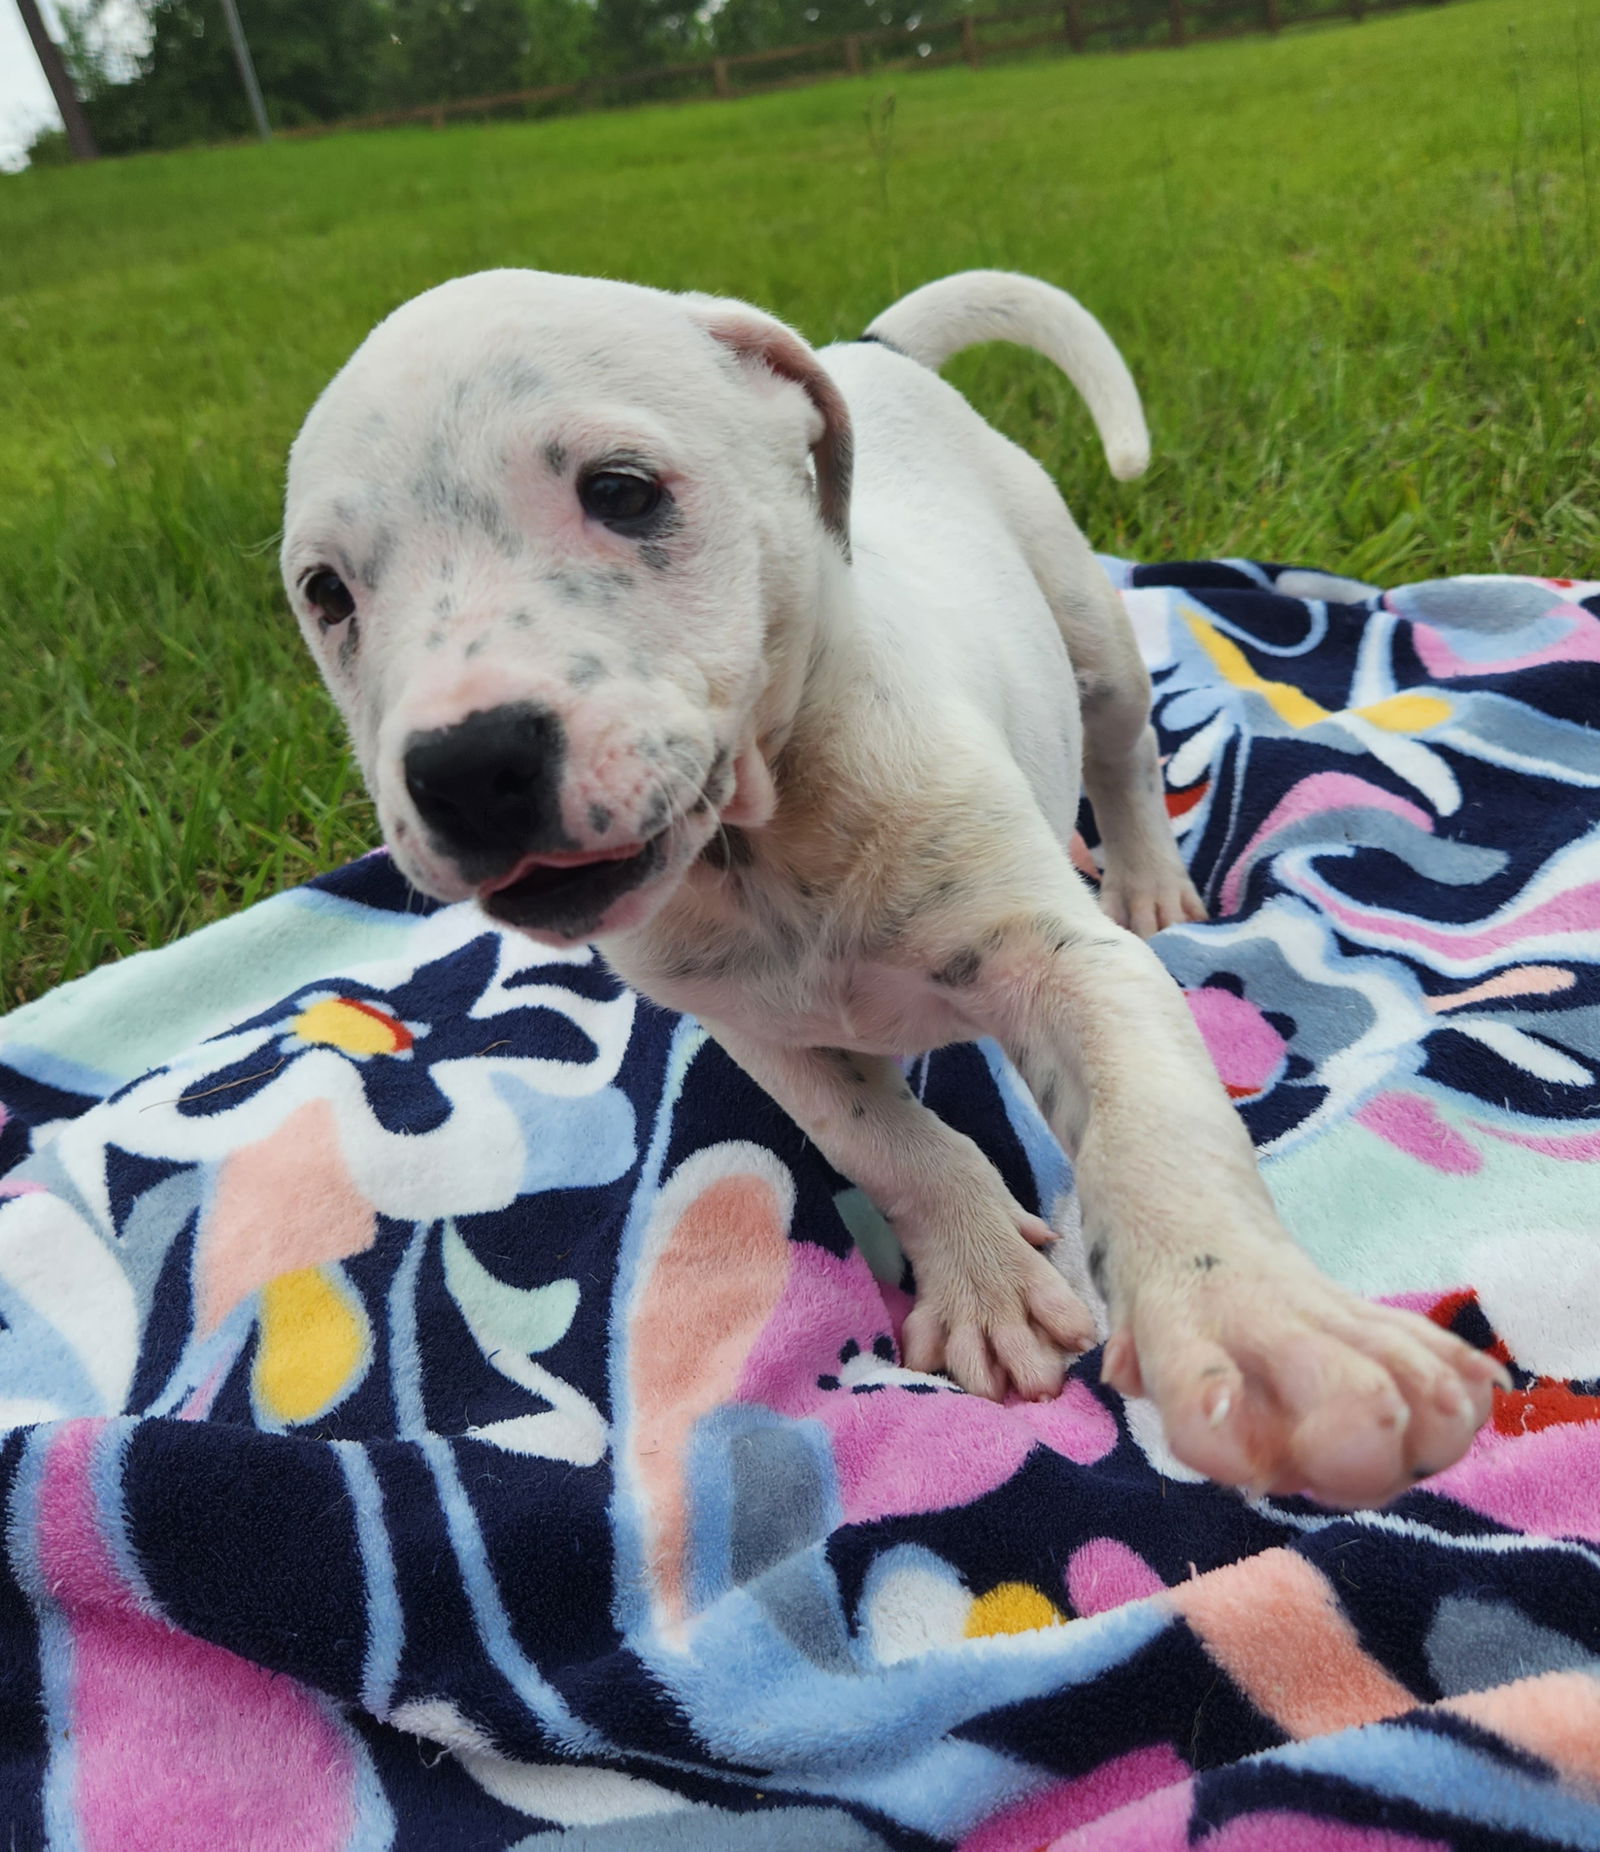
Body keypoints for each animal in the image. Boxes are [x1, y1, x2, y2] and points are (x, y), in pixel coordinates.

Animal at [285, 268, 1496, 1503]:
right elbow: (890, 1144)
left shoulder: (1067, 968)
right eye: (327, 593)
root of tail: (869, 347)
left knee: (1121, 750)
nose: (465, 769)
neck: (767, 842)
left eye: (621, 492)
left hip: (1081, 617)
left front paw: (1263, 1325)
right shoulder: (763, 1035)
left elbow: (1155, 1125)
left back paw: (1145, 874)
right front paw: (984, 1274)